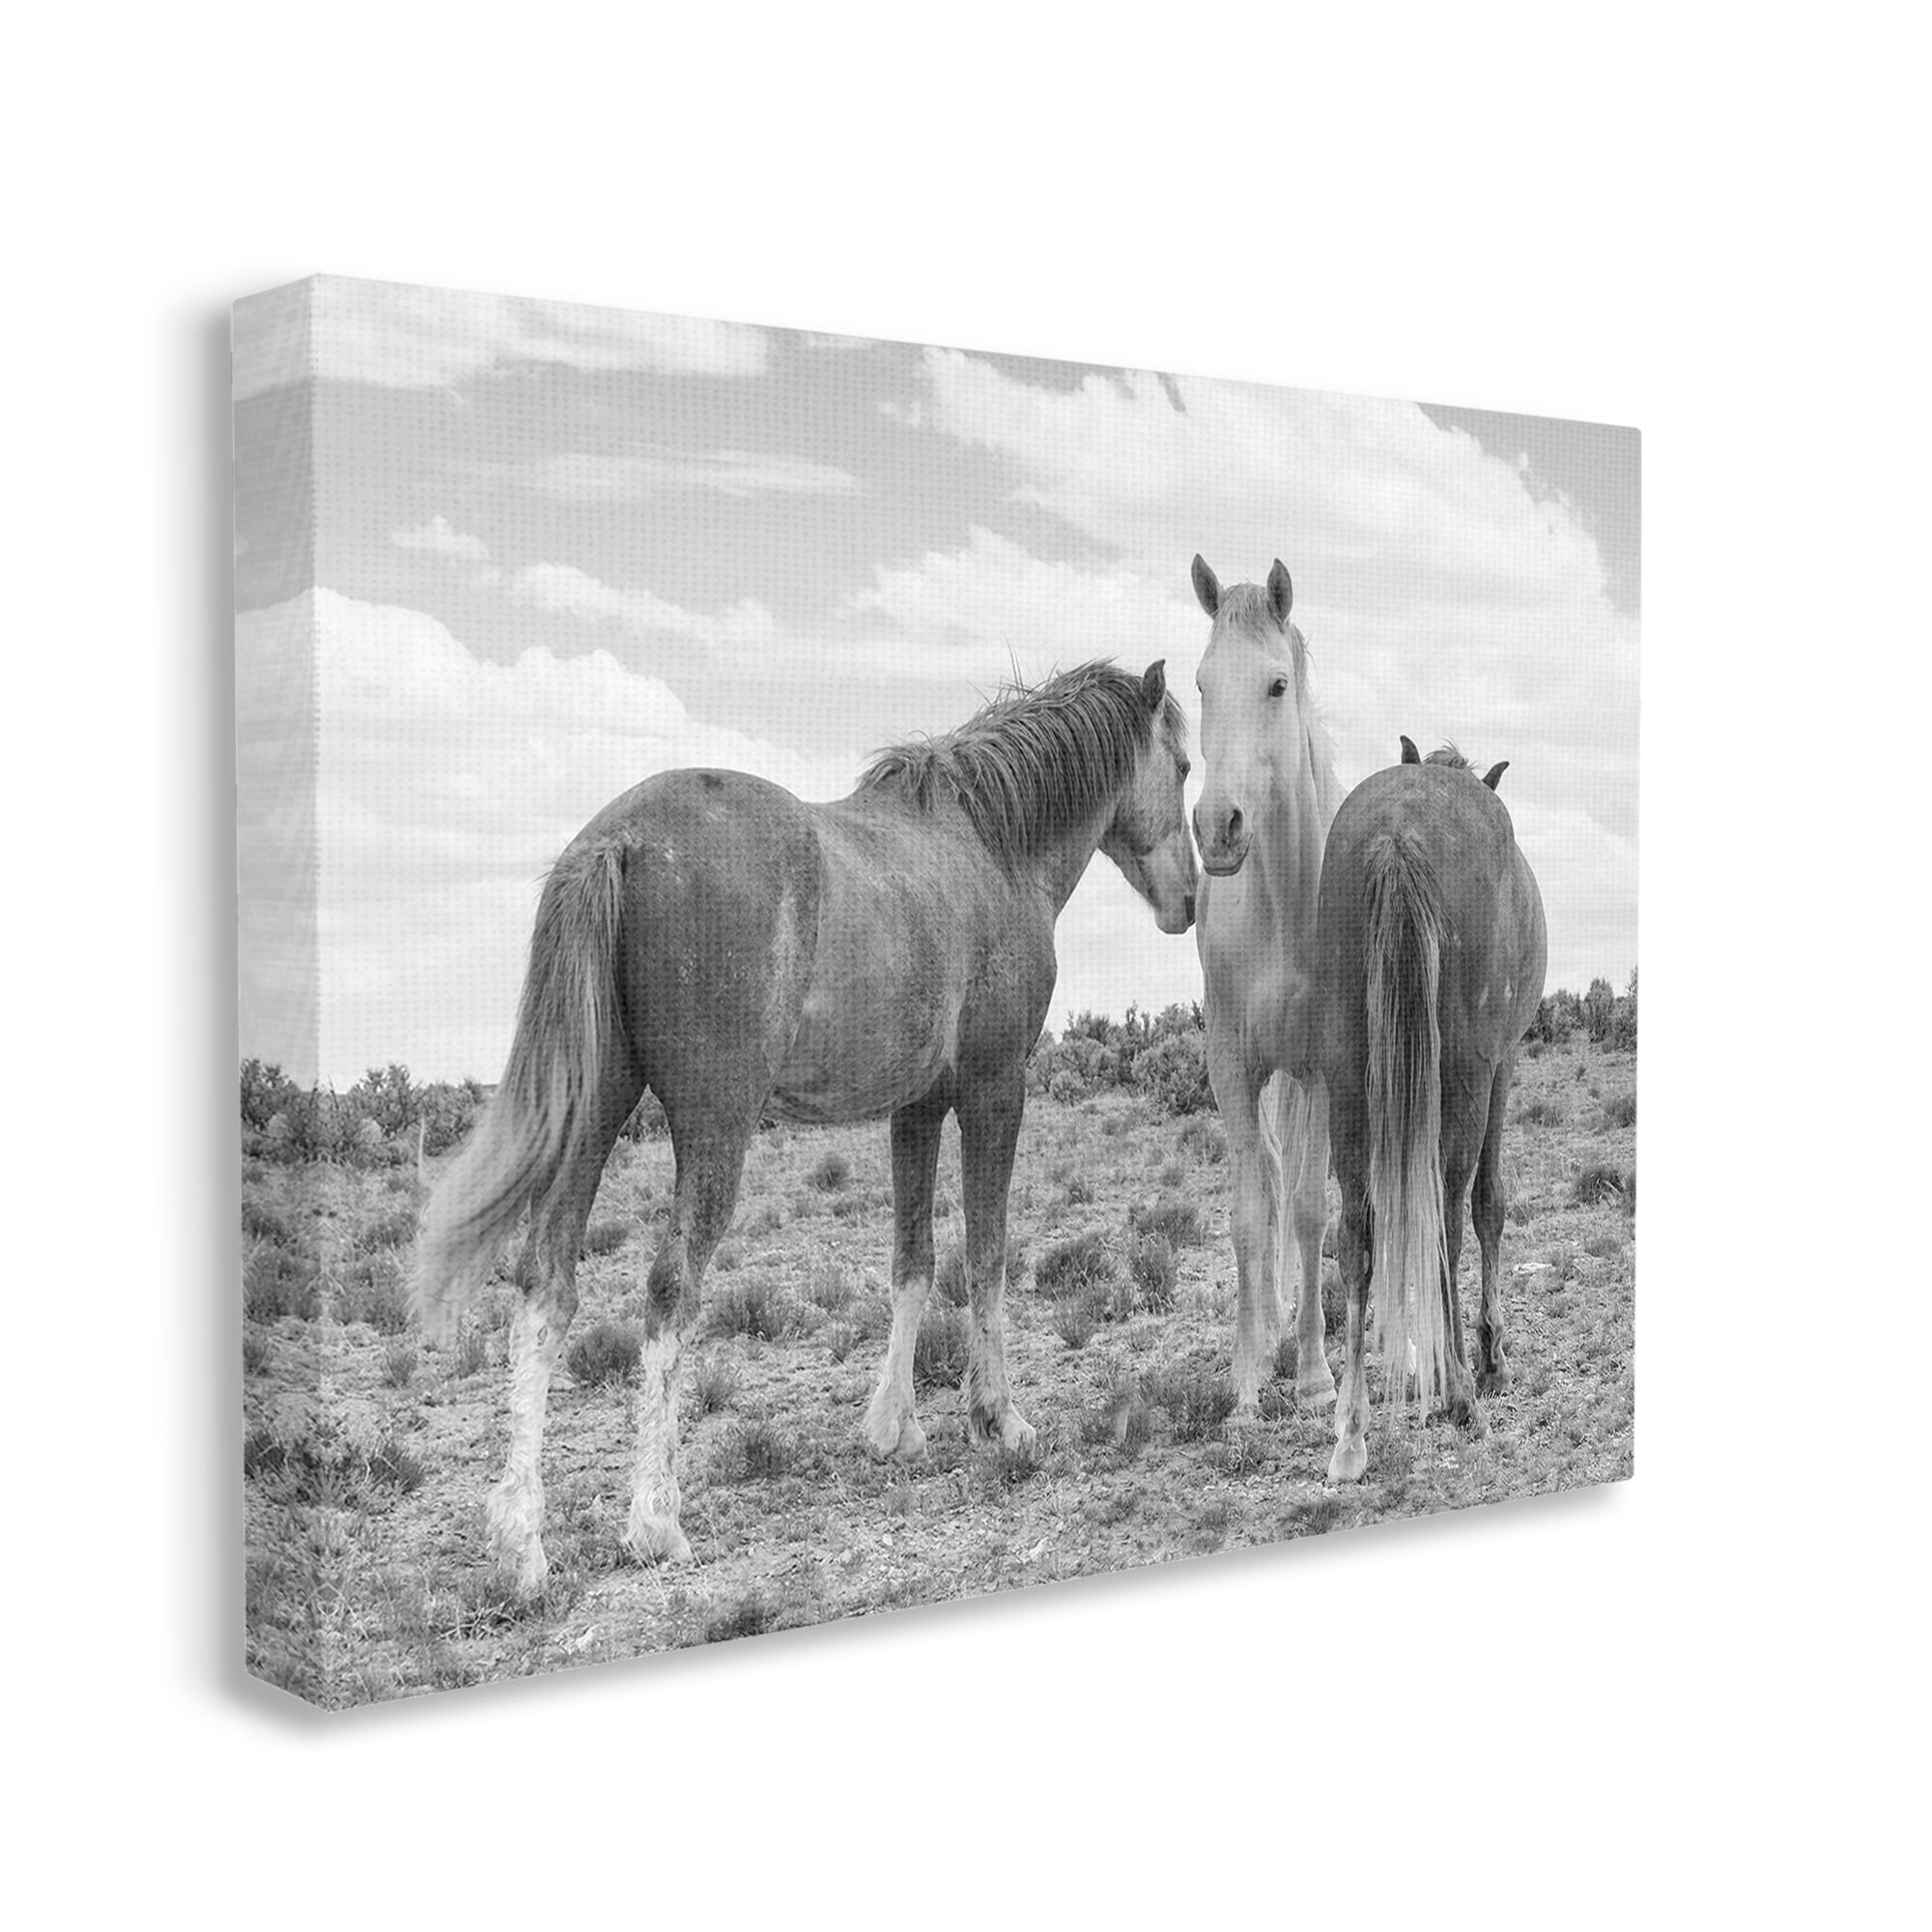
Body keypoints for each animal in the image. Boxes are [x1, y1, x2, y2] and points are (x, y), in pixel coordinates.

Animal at [415, 659, 1197, 1589]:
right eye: (1184, 765)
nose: (1189, 900)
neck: (990, 847)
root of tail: (618, 842)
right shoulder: (994, 1087)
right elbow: (989, 1255)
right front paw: (998, 1420)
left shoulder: (916, 1106)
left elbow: (912, 1264)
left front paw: (892, 1428)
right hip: (714, 1129)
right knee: (669, 1289)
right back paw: (655, 1521)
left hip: (595, 1112)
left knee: (547, 1284)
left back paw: (522, 1542)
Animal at [1308, 751, 1547, 1482]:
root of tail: (1397, 834)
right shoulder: (1501, 1068)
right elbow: (1489, 1205)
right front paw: (1492, 1359)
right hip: (1465, 1076)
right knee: (1448, 1214)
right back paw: (1461, 1392)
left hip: (1348, 1077)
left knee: (1355, 1235)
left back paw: (1352, 1431)